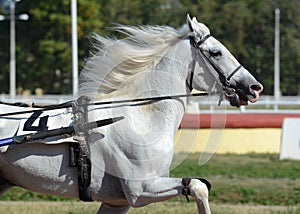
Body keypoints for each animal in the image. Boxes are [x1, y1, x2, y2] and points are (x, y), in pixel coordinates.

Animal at [0, 15, 262, 213]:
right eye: (216, 53)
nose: (254, 87)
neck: (141, 117)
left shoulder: (117, 202)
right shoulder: (141, 190)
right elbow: (198, 186)